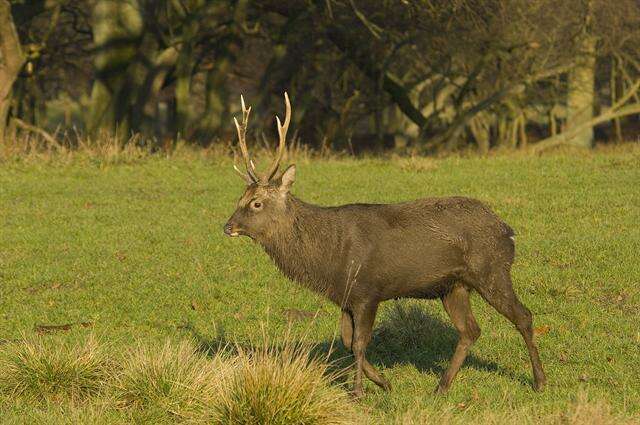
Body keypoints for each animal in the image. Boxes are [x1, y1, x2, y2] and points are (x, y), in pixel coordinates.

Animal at [224, 93, 544, 398]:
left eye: (256, 203)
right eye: (239, 198)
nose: (227, 226)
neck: (329, 259)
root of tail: (508, 230)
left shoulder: (367, 291)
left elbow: (359, 342)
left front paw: (359, 392)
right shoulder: (346, 297)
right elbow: (346, 341)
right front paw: (384, 383)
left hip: (492, 270)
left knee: (523, 316)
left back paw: (539, 381)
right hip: (453, 286)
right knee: (470, 330)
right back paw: (441, 387)